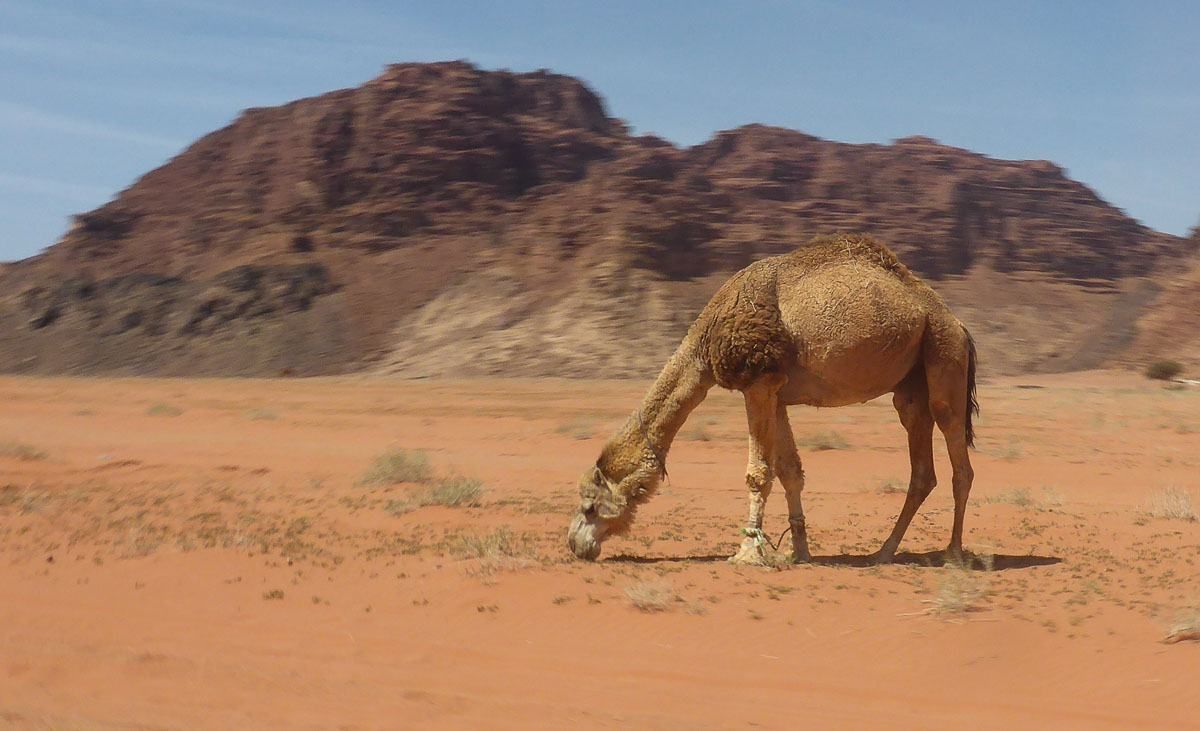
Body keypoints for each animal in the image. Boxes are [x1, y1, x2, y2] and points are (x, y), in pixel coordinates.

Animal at [568, 234, 974, 564]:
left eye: (590, 505)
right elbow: (789, 471)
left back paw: (953, 553)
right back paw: (885, 551)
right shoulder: (777, 394)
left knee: (958, 459)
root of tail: (957, 323)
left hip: (944, 353)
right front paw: (799, 551)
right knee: (922, 470)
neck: (704, 345)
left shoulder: (759, 383)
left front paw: (748, 551)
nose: (574, 543)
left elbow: (758, 474)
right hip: (912, 386)